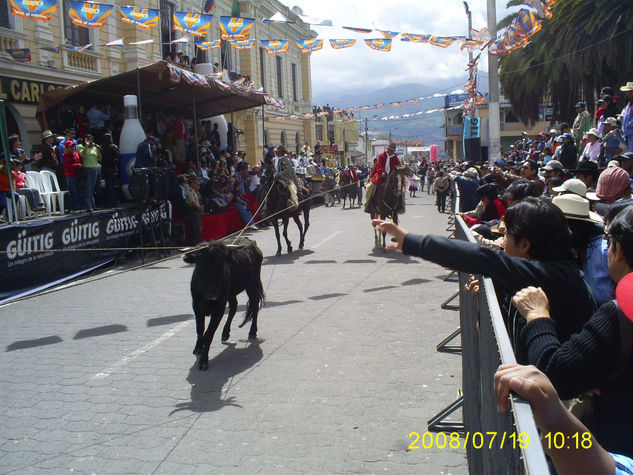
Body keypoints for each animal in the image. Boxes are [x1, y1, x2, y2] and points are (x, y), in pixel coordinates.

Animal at [183, 238, 264, 372]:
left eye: (220, 265)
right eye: (199, 265)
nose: (212, 292)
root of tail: (252, 242)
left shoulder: (219, 308)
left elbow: (208, 333)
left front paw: (203, 361)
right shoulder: (196, 307)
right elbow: (200, 330)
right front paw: (198, 348)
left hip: (252, 285)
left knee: (254, 305)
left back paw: (252, 332)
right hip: (232, 293)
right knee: (234, 307)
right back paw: (225, 333)